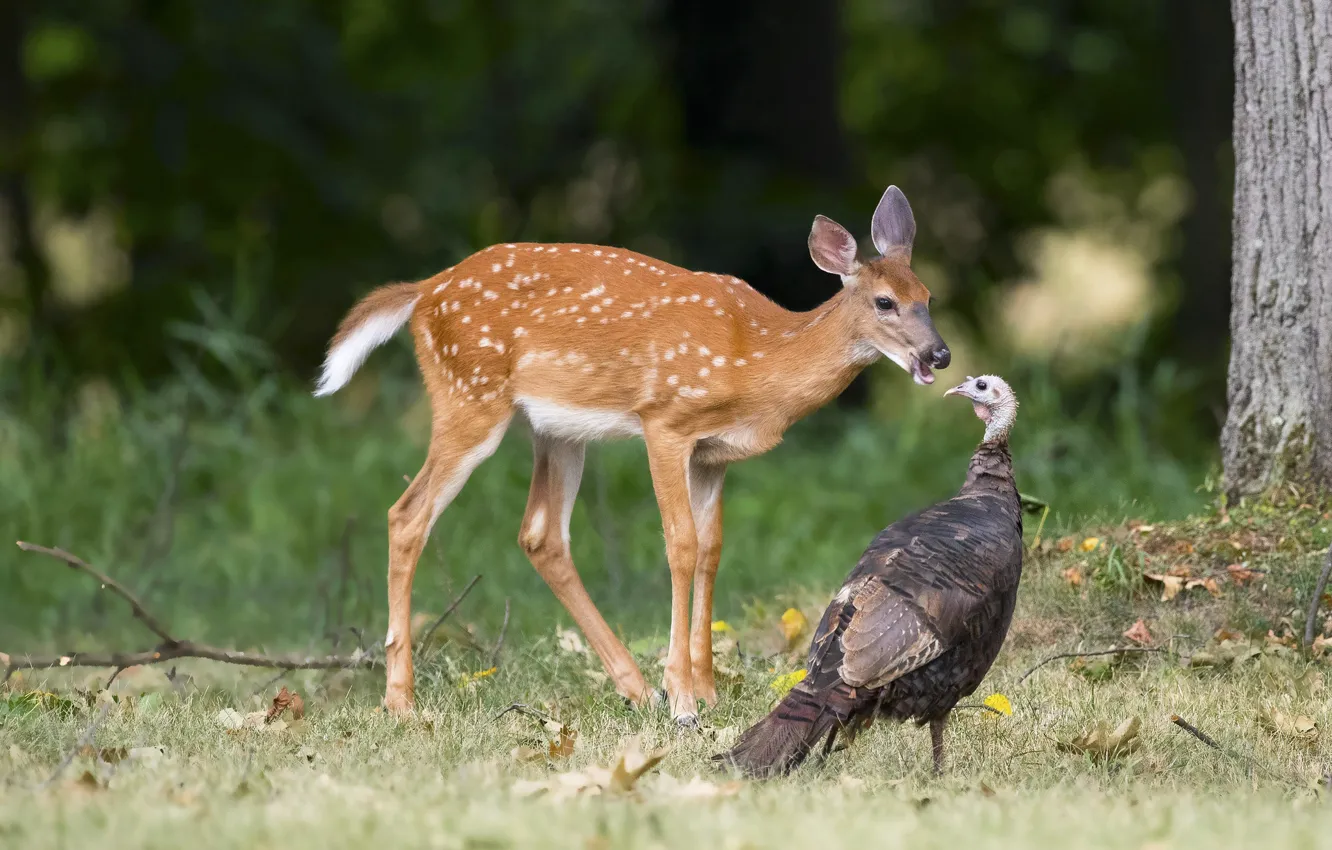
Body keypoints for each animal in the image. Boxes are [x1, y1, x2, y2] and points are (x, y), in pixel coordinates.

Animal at [313, 185, 950, 725]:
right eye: (886, 302)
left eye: (928, 297)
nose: (940, 354)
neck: (756, 357)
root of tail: (422, 292)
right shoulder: (665, 421)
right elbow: (681, 545)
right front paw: (684, 700)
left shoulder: (713, 454)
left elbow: (712, 549)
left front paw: (705, 690)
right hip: (469, 396)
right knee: (408, 514)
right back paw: (400, 701)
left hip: (557, 430)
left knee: (540, 534)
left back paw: (634, 689)